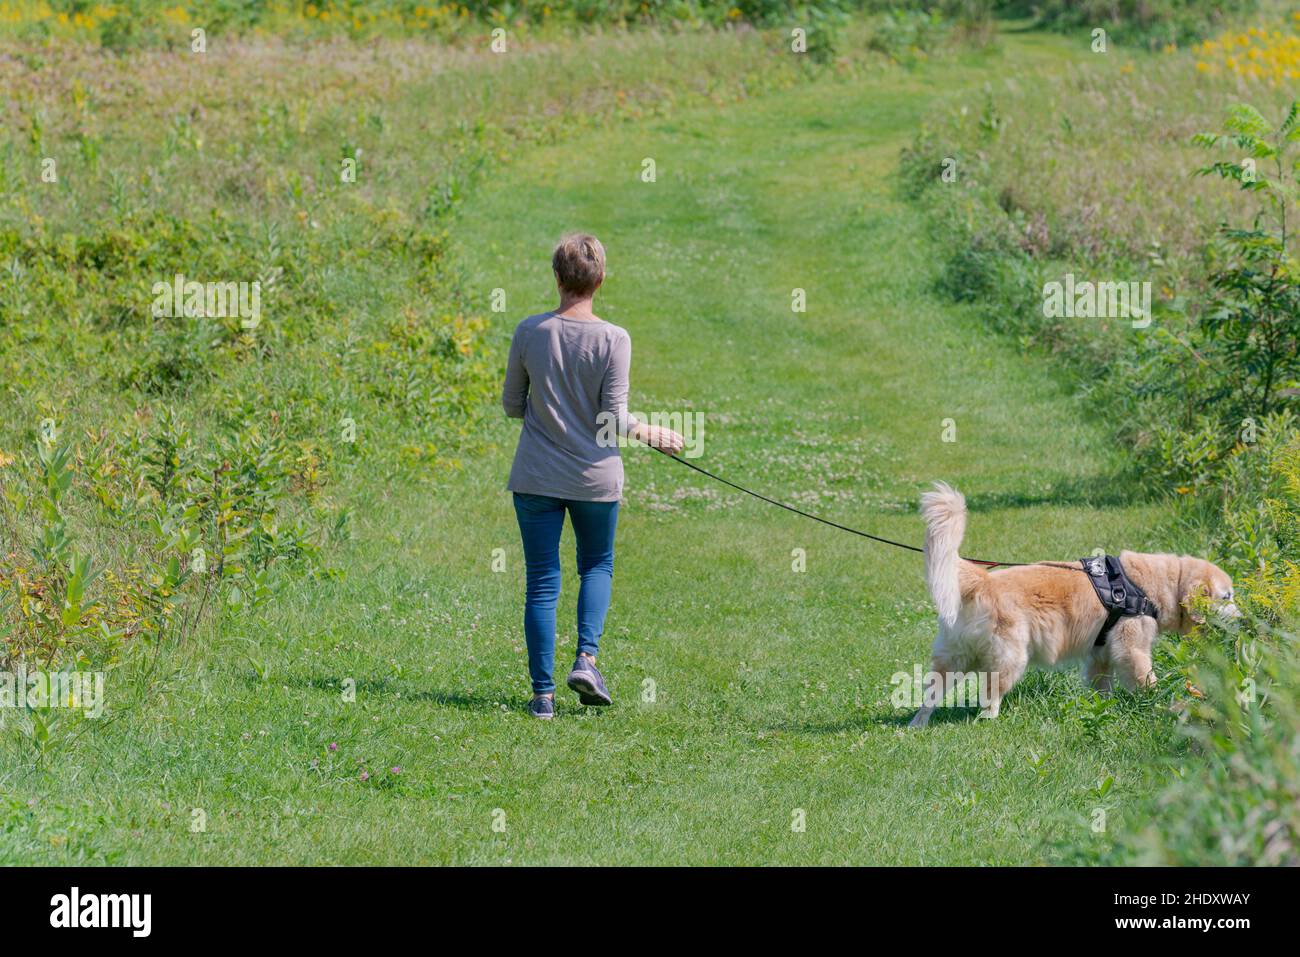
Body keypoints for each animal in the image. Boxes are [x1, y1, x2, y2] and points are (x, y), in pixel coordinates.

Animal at [909, 481, 1232, 728]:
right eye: (1227, 596)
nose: (1242, 619)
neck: (1156, 583)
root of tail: (982, 580)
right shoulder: (1131, 648)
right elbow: (1146, 678)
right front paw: (1159, 702)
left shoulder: (1100, 654)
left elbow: (1101, 685)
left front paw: (1103, 706)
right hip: (1009, 658)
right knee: (990, 693)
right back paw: (990, 719)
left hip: (954, 657)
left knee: (932, 693)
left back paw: (917, 724)